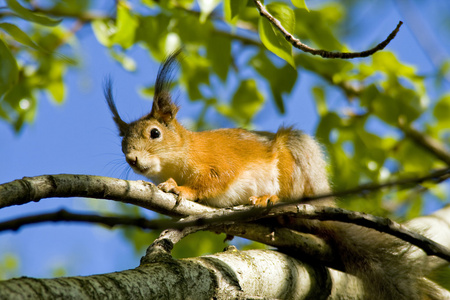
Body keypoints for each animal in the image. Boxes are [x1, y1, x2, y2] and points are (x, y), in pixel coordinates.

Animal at [104, 50, 440, 298]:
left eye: (155, 133)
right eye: (121, 143)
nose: (132, 159)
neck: (185, 151)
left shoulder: (219, 161)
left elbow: (214, 180)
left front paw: (181, 189)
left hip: (293, 166)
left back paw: (270, 202)